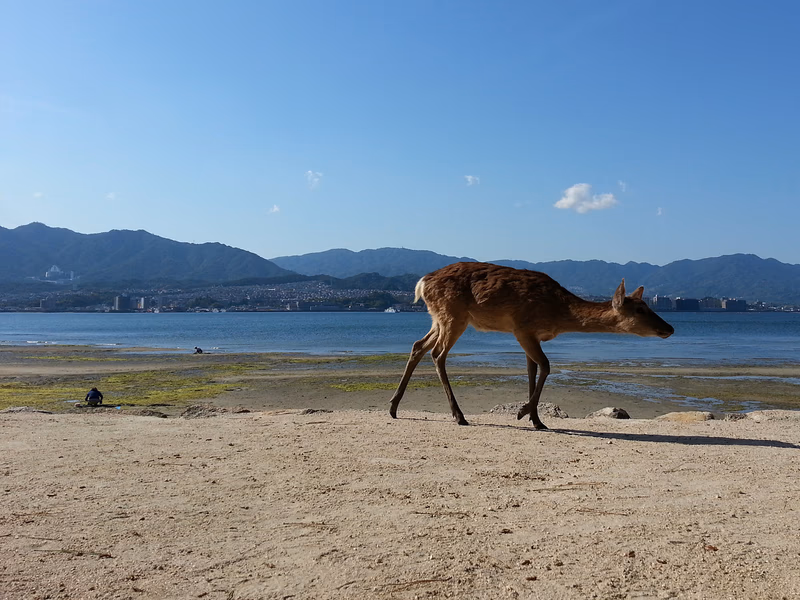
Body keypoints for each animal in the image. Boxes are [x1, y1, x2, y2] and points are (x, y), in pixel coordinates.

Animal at [389, 262, 674, 429]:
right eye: (640, 309)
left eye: (648, 305)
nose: (670, 328)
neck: (558, 314)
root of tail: (422, 283)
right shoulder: (522, 328)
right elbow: (546, 366)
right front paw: (523, 413)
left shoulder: (531, 335)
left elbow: (532, 370)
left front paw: (536, 420)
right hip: (453, 315)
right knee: (438, 354)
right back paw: (459, 416)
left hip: (438, 317)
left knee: (418, 345)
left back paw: (393, 407)